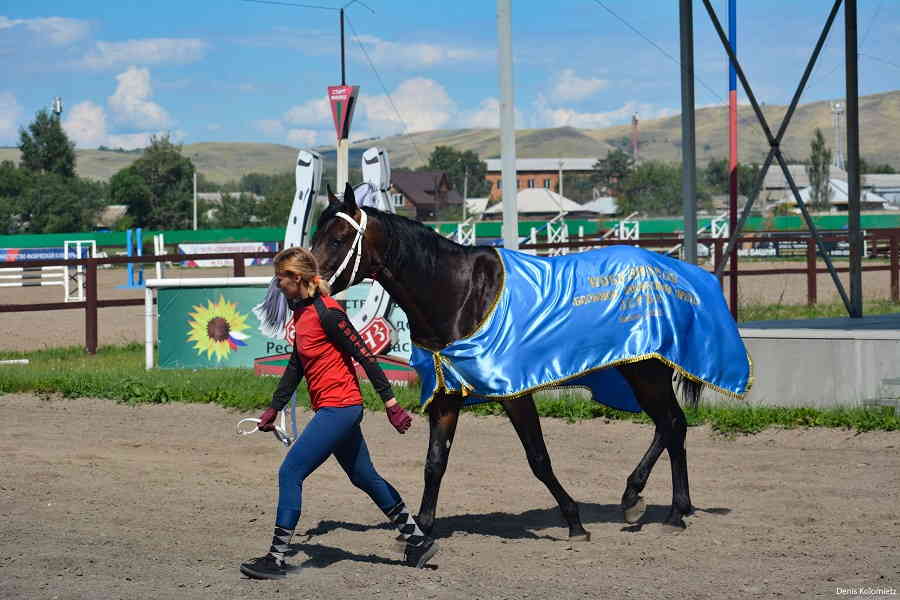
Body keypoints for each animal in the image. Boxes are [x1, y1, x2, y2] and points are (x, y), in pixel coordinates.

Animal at [310, 184, 704, 540]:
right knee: (668, 426)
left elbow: (538, 457)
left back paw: (668, 510)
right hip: (638, 372)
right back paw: (647, 499)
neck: (460, 293)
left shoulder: (514, 392)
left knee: (672, 424)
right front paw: (423, 527)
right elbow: (435, 461)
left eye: (339, 239)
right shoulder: (446, 392)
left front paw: (574, 521)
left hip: (646, 372)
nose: (309, 283)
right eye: (317, 235)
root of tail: (672, 271)